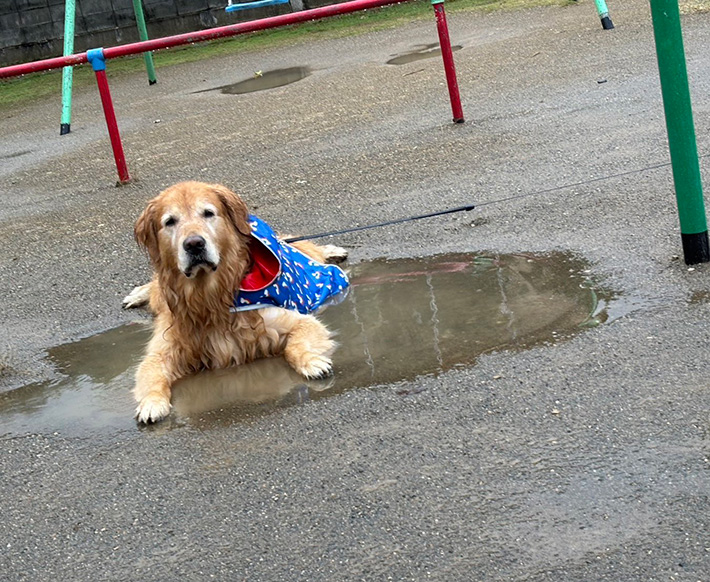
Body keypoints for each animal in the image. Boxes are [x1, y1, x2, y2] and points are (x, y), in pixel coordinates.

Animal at [124, 182, 350, 424]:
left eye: (208, 213)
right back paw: (137, 295)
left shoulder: (292, 321)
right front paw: (151, 403)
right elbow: (150, 373)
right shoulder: (163, 348)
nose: (194, 244)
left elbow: (295, 345)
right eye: (170, 221)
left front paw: (312, 362)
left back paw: (334, 250)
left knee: (307, 247)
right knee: (154, 285)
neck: (209, 297)